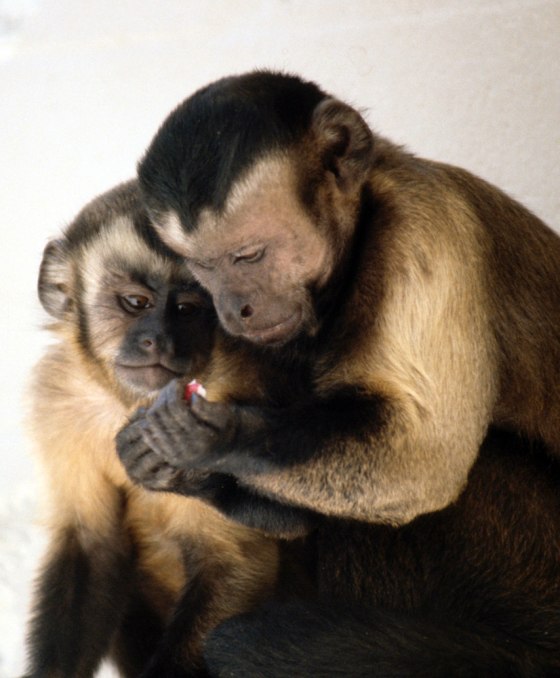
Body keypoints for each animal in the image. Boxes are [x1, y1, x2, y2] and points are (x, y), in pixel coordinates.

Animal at [25, 179, 314, 678]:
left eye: (188, 308)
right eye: (136, 303)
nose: (158, 339)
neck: (130, 403)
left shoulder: (238, 392)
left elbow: (250, 551)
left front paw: (181, 469)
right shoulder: (59, 401)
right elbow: (92, 545)